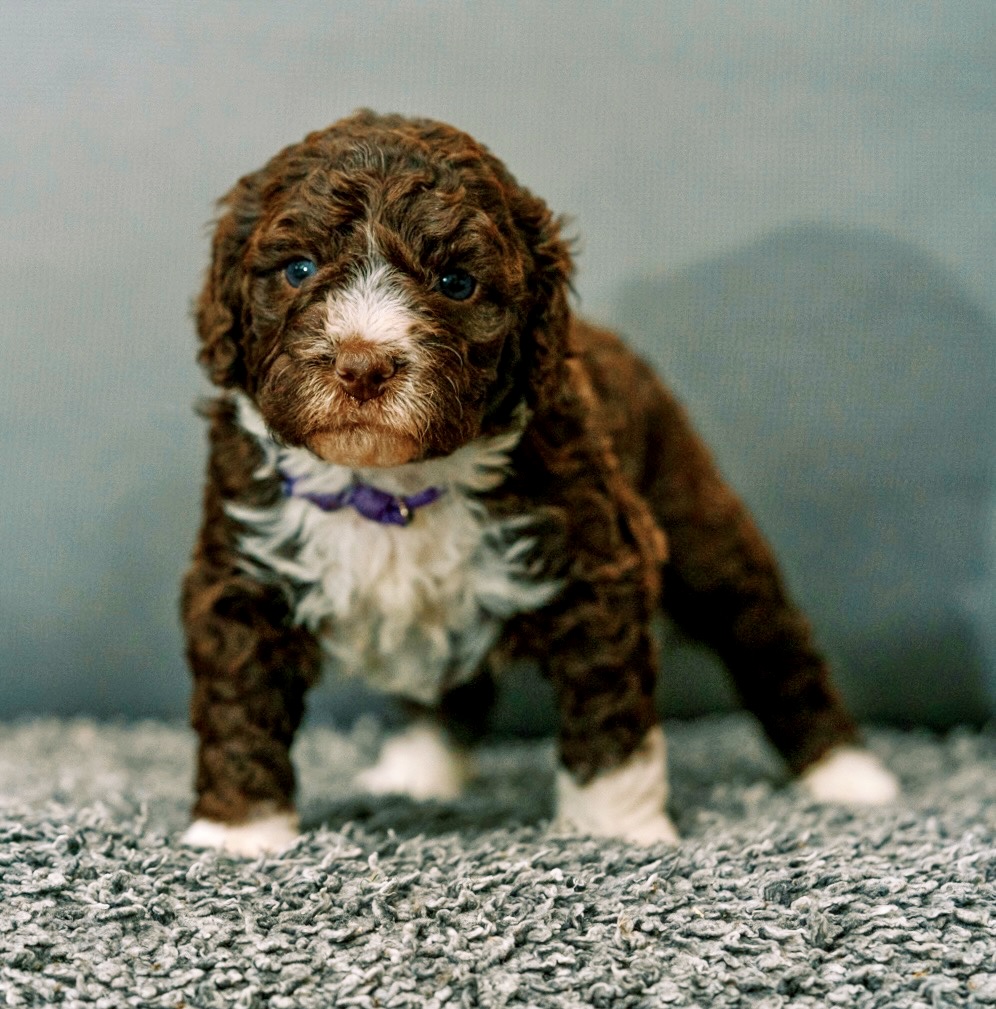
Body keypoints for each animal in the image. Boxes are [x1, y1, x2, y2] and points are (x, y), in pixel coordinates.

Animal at [180, 110, 904, 855]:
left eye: (456, 283)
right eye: (298, 269)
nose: (362, 366)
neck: (390, 483)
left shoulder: (598, 566)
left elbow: (608, 711)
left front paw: (616, 828)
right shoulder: (242, 573)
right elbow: (240, 702)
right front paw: (238, 834)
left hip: (698, 521)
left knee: (767, 636)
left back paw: (847, 773)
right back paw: (420, 769)